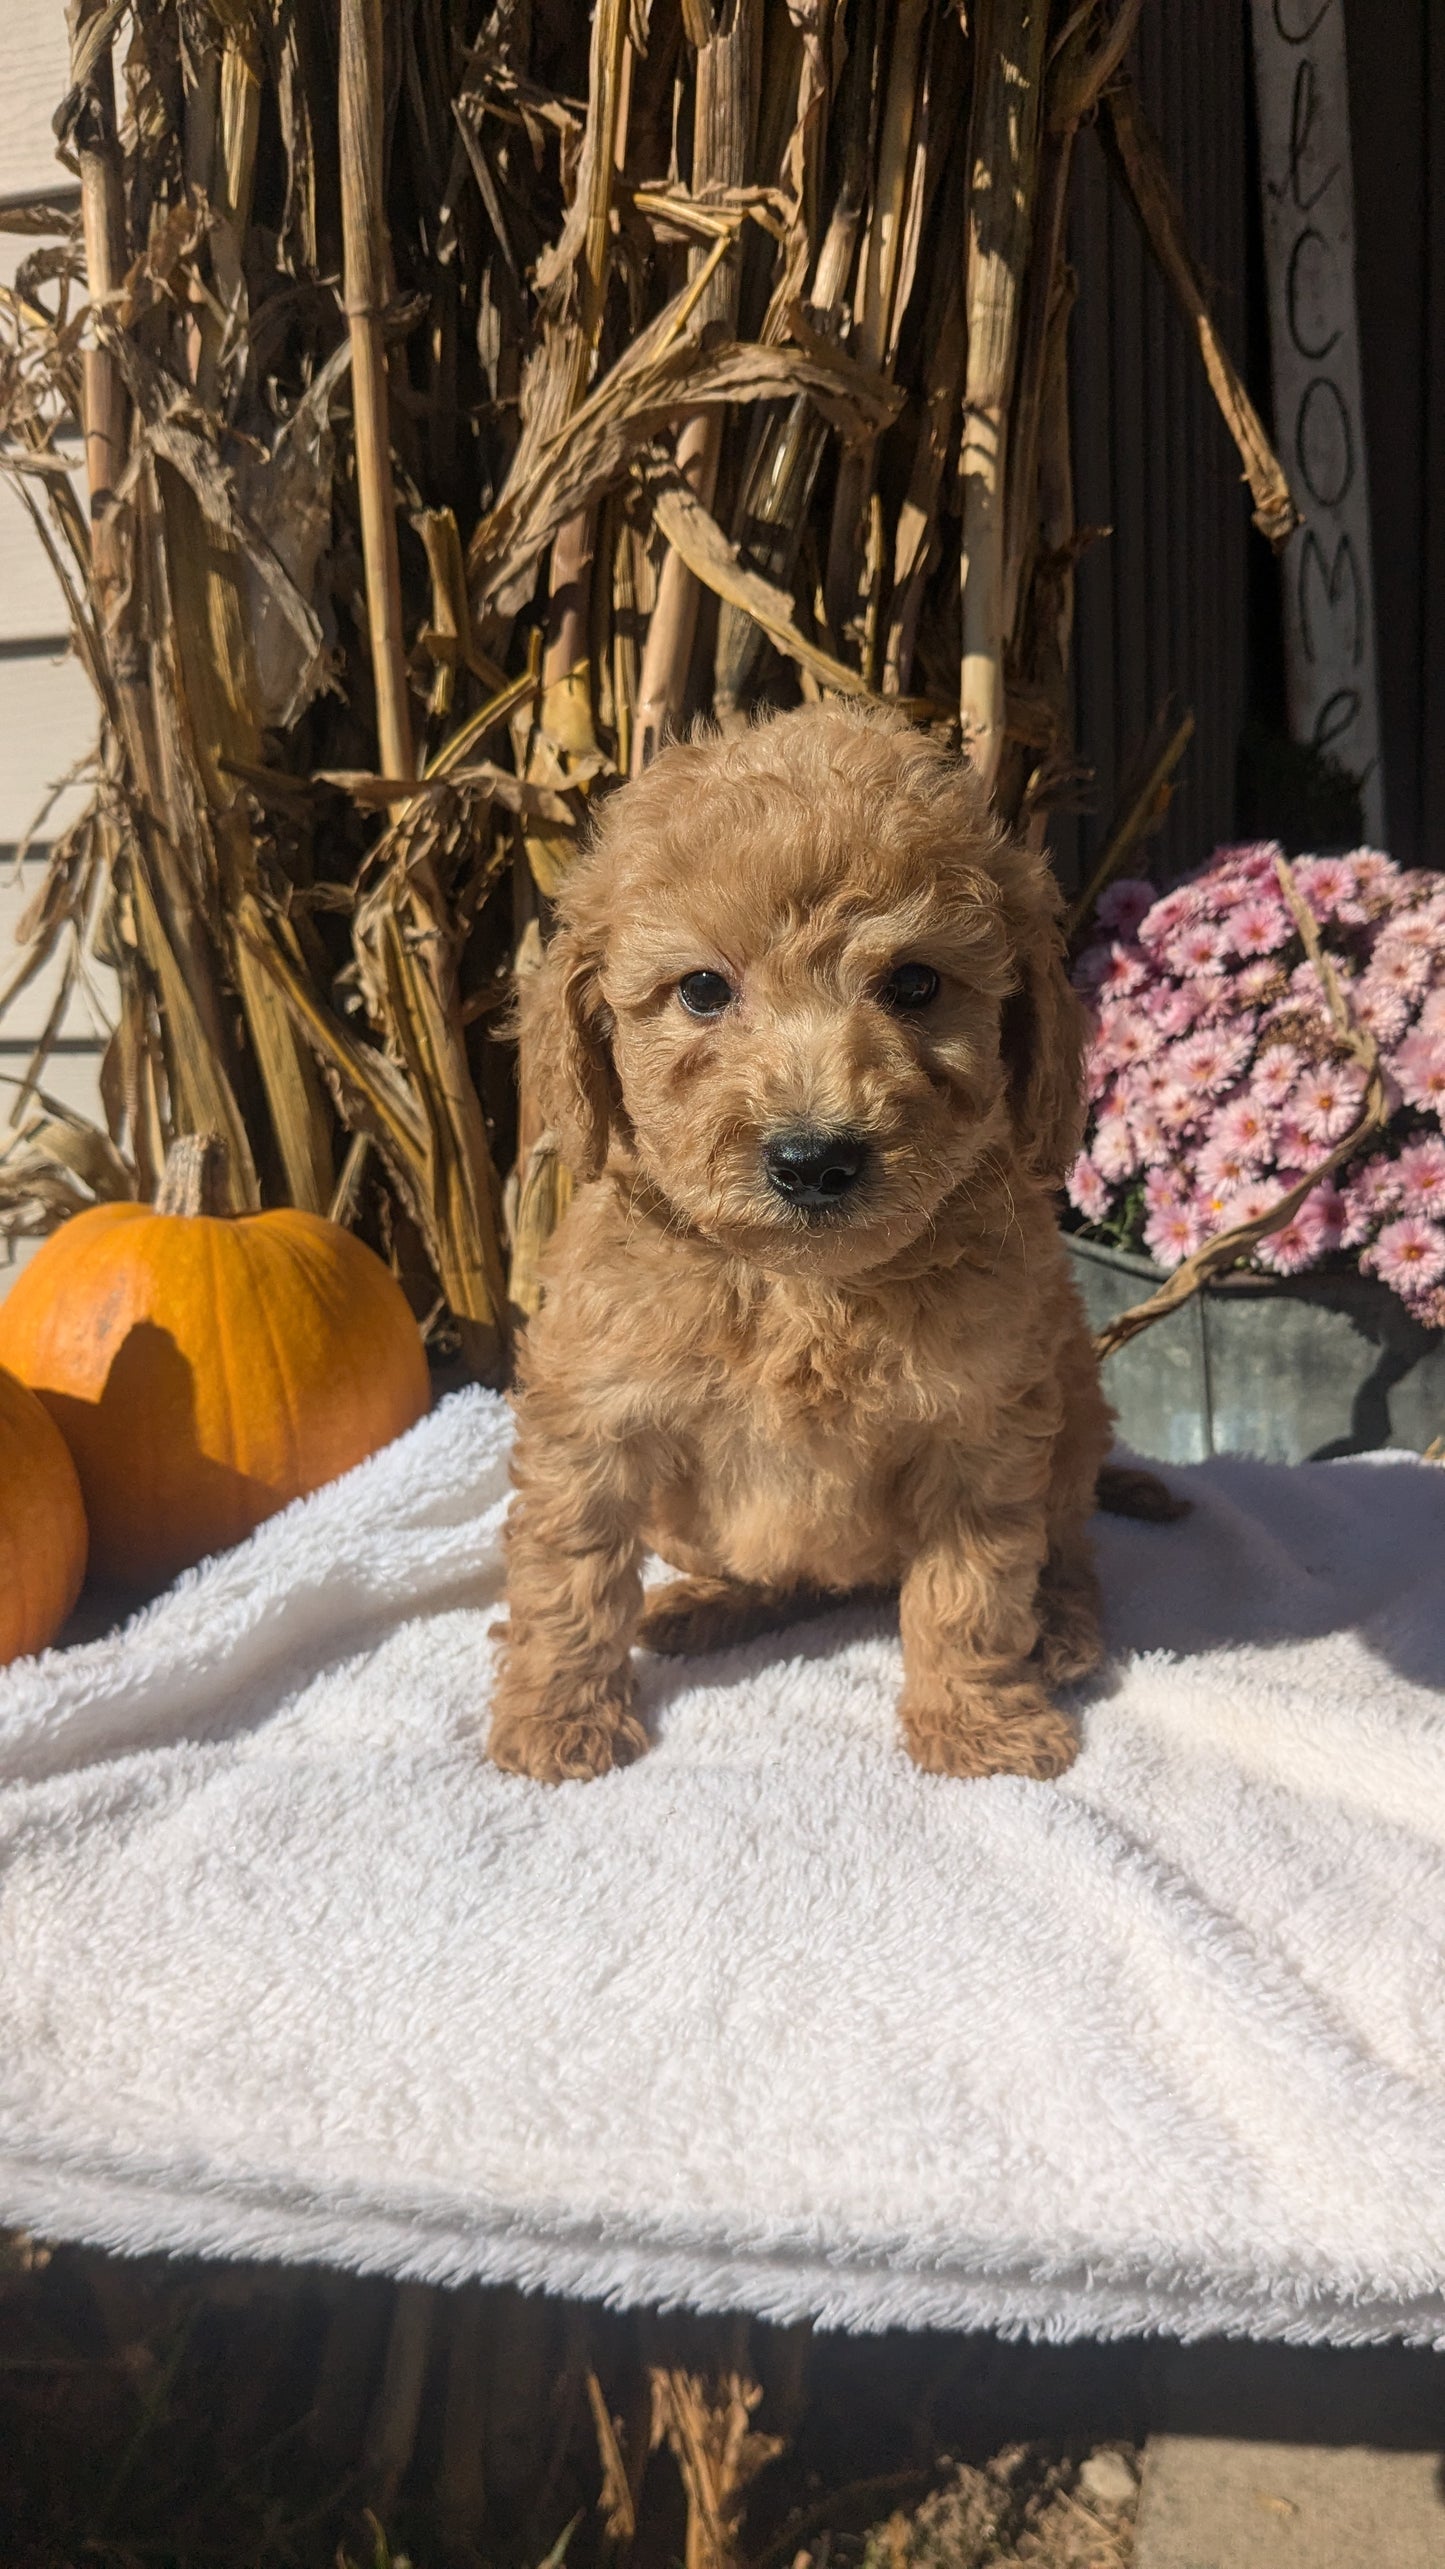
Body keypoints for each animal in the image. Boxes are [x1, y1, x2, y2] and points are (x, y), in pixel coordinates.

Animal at [488, 703, 1105, 1788]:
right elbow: (567, 1570)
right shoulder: (592, 1411)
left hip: (1073, 1411)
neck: (799, 1291)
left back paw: (1062, 1631)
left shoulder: (982, 1426)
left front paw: (979, 1727)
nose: (815, 1158)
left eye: (914, 983)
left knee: (1067, 1547)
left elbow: (971, 1592)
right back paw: (703, 1608)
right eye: (701, 990)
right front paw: (556, 1718)